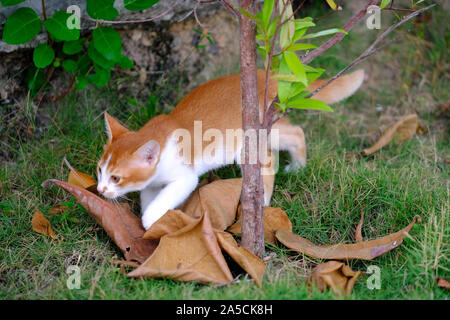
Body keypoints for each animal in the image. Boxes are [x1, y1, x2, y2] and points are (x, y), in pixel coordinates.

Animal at [96, 70, 364, 230]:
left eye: (116, 177)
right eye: (99, 170)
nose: (100, 190)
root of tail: (262, 73)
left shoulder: (185, 177)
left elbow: (167, 196)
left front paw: (152, 218)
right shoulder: (151, 183)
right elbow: (149, 195)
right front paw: (151, 215)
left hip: (250, 137)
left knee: (271, 159)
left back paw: (262, 201)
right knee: (295, 133)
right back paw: (298, 167)